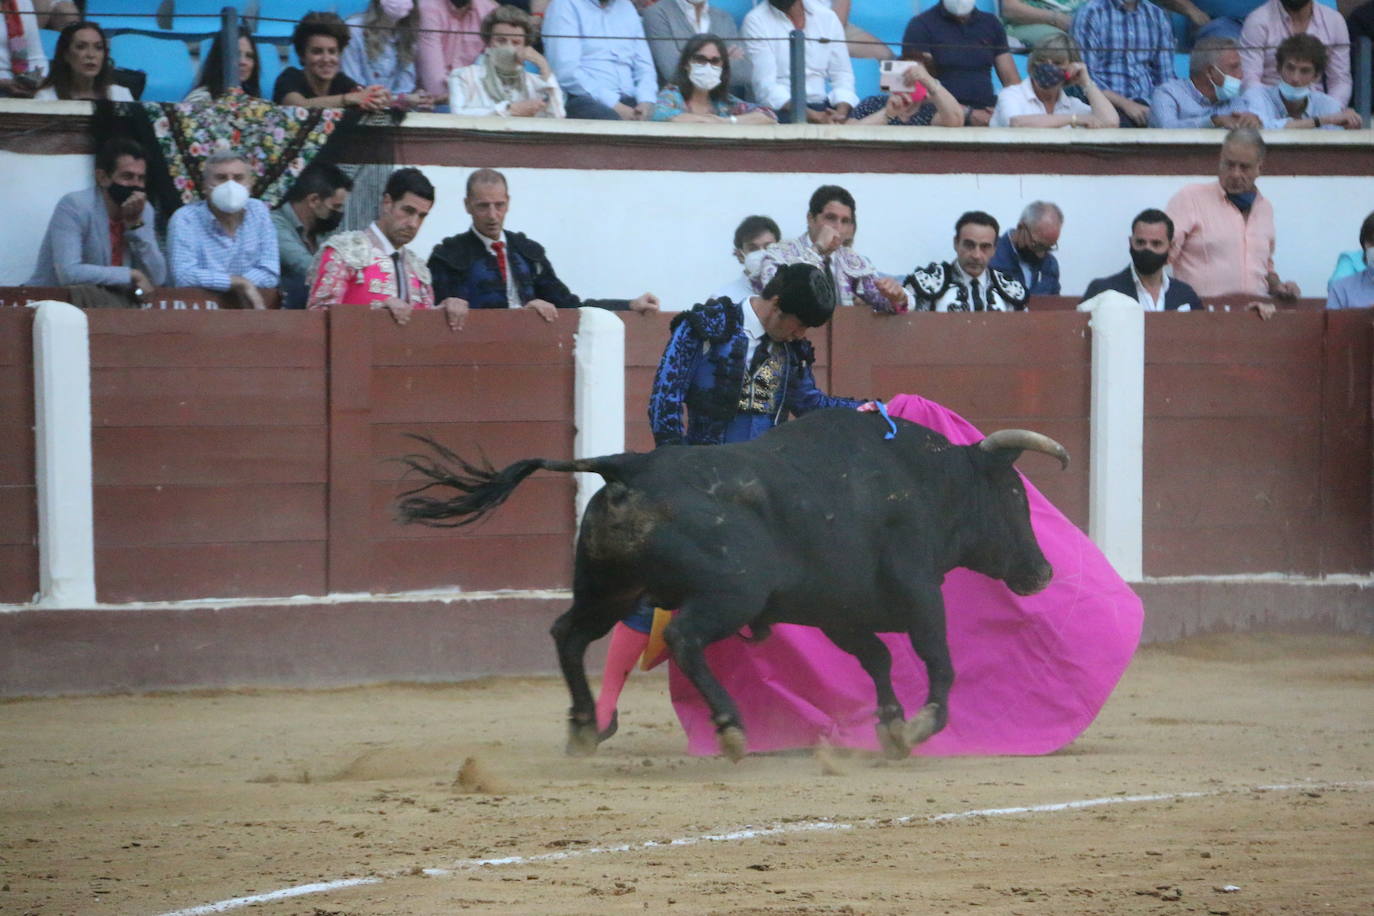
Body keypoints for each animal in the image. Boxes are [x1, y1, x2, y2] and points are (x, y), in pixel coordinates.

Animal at [392, 411, 1066, 763]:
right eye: (1015, 497)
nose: (1044, 573)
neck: (926, 480)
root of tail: (627, 465)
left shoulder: (840, 611)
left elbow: (876, 657)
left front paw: (892, 726)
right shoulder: (920, 590)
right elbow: (938, 657)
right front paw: (922, 725)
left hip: (612, 588)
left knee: (569, 634)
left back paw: (585, 725)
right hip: (729, 594)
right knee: (684, 640)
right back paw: (730, 727)